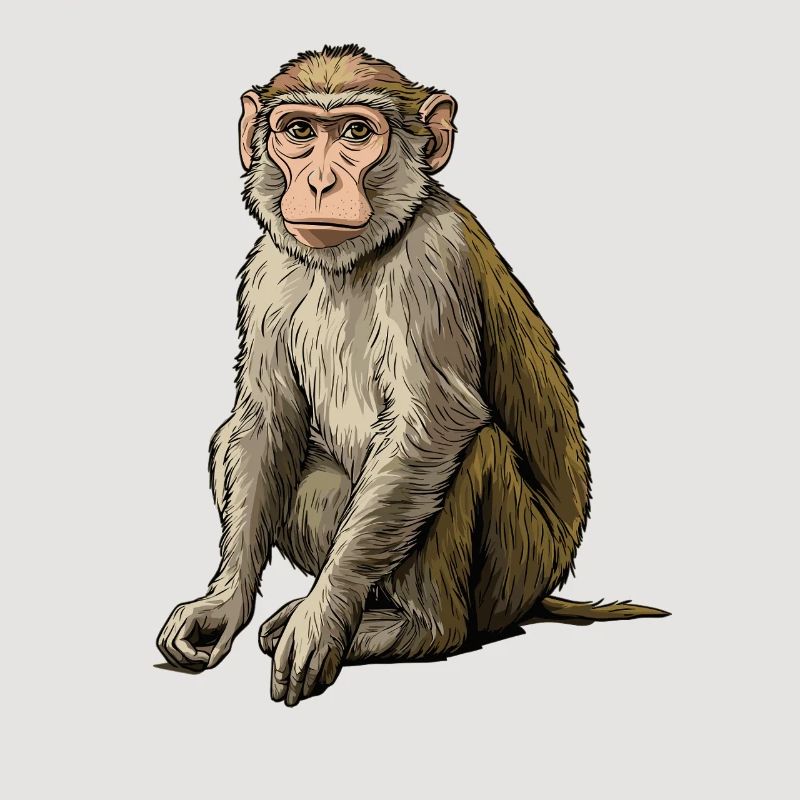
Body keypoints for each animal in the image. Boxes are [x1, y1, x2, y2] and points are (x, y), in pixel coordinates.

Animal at [157, 45, 668, 706]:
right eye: (299, 132)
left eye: (356, 133)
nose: (318, 182)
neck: (357, 255)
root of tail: (539, 590)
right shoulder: (266, 268)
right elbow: (263, 422)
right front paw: (222, 606)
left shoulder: (435, 261)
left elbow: (432, 426)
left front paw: (323, 619)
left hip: (513, 568)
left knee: (472, 449)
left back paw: (417, 629)